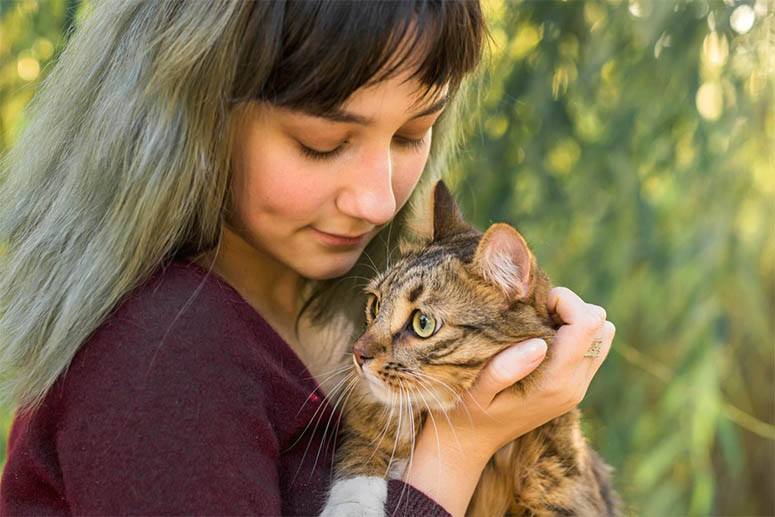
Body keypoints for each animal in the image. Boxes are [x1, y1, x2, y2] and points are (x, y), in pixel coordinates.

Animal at [318, 181, 620, 516]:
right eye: (375, 305)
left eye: (423, 323)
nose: (359, 354)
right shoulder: (368, 429)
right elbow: (361, 462)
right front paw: (351, 506)